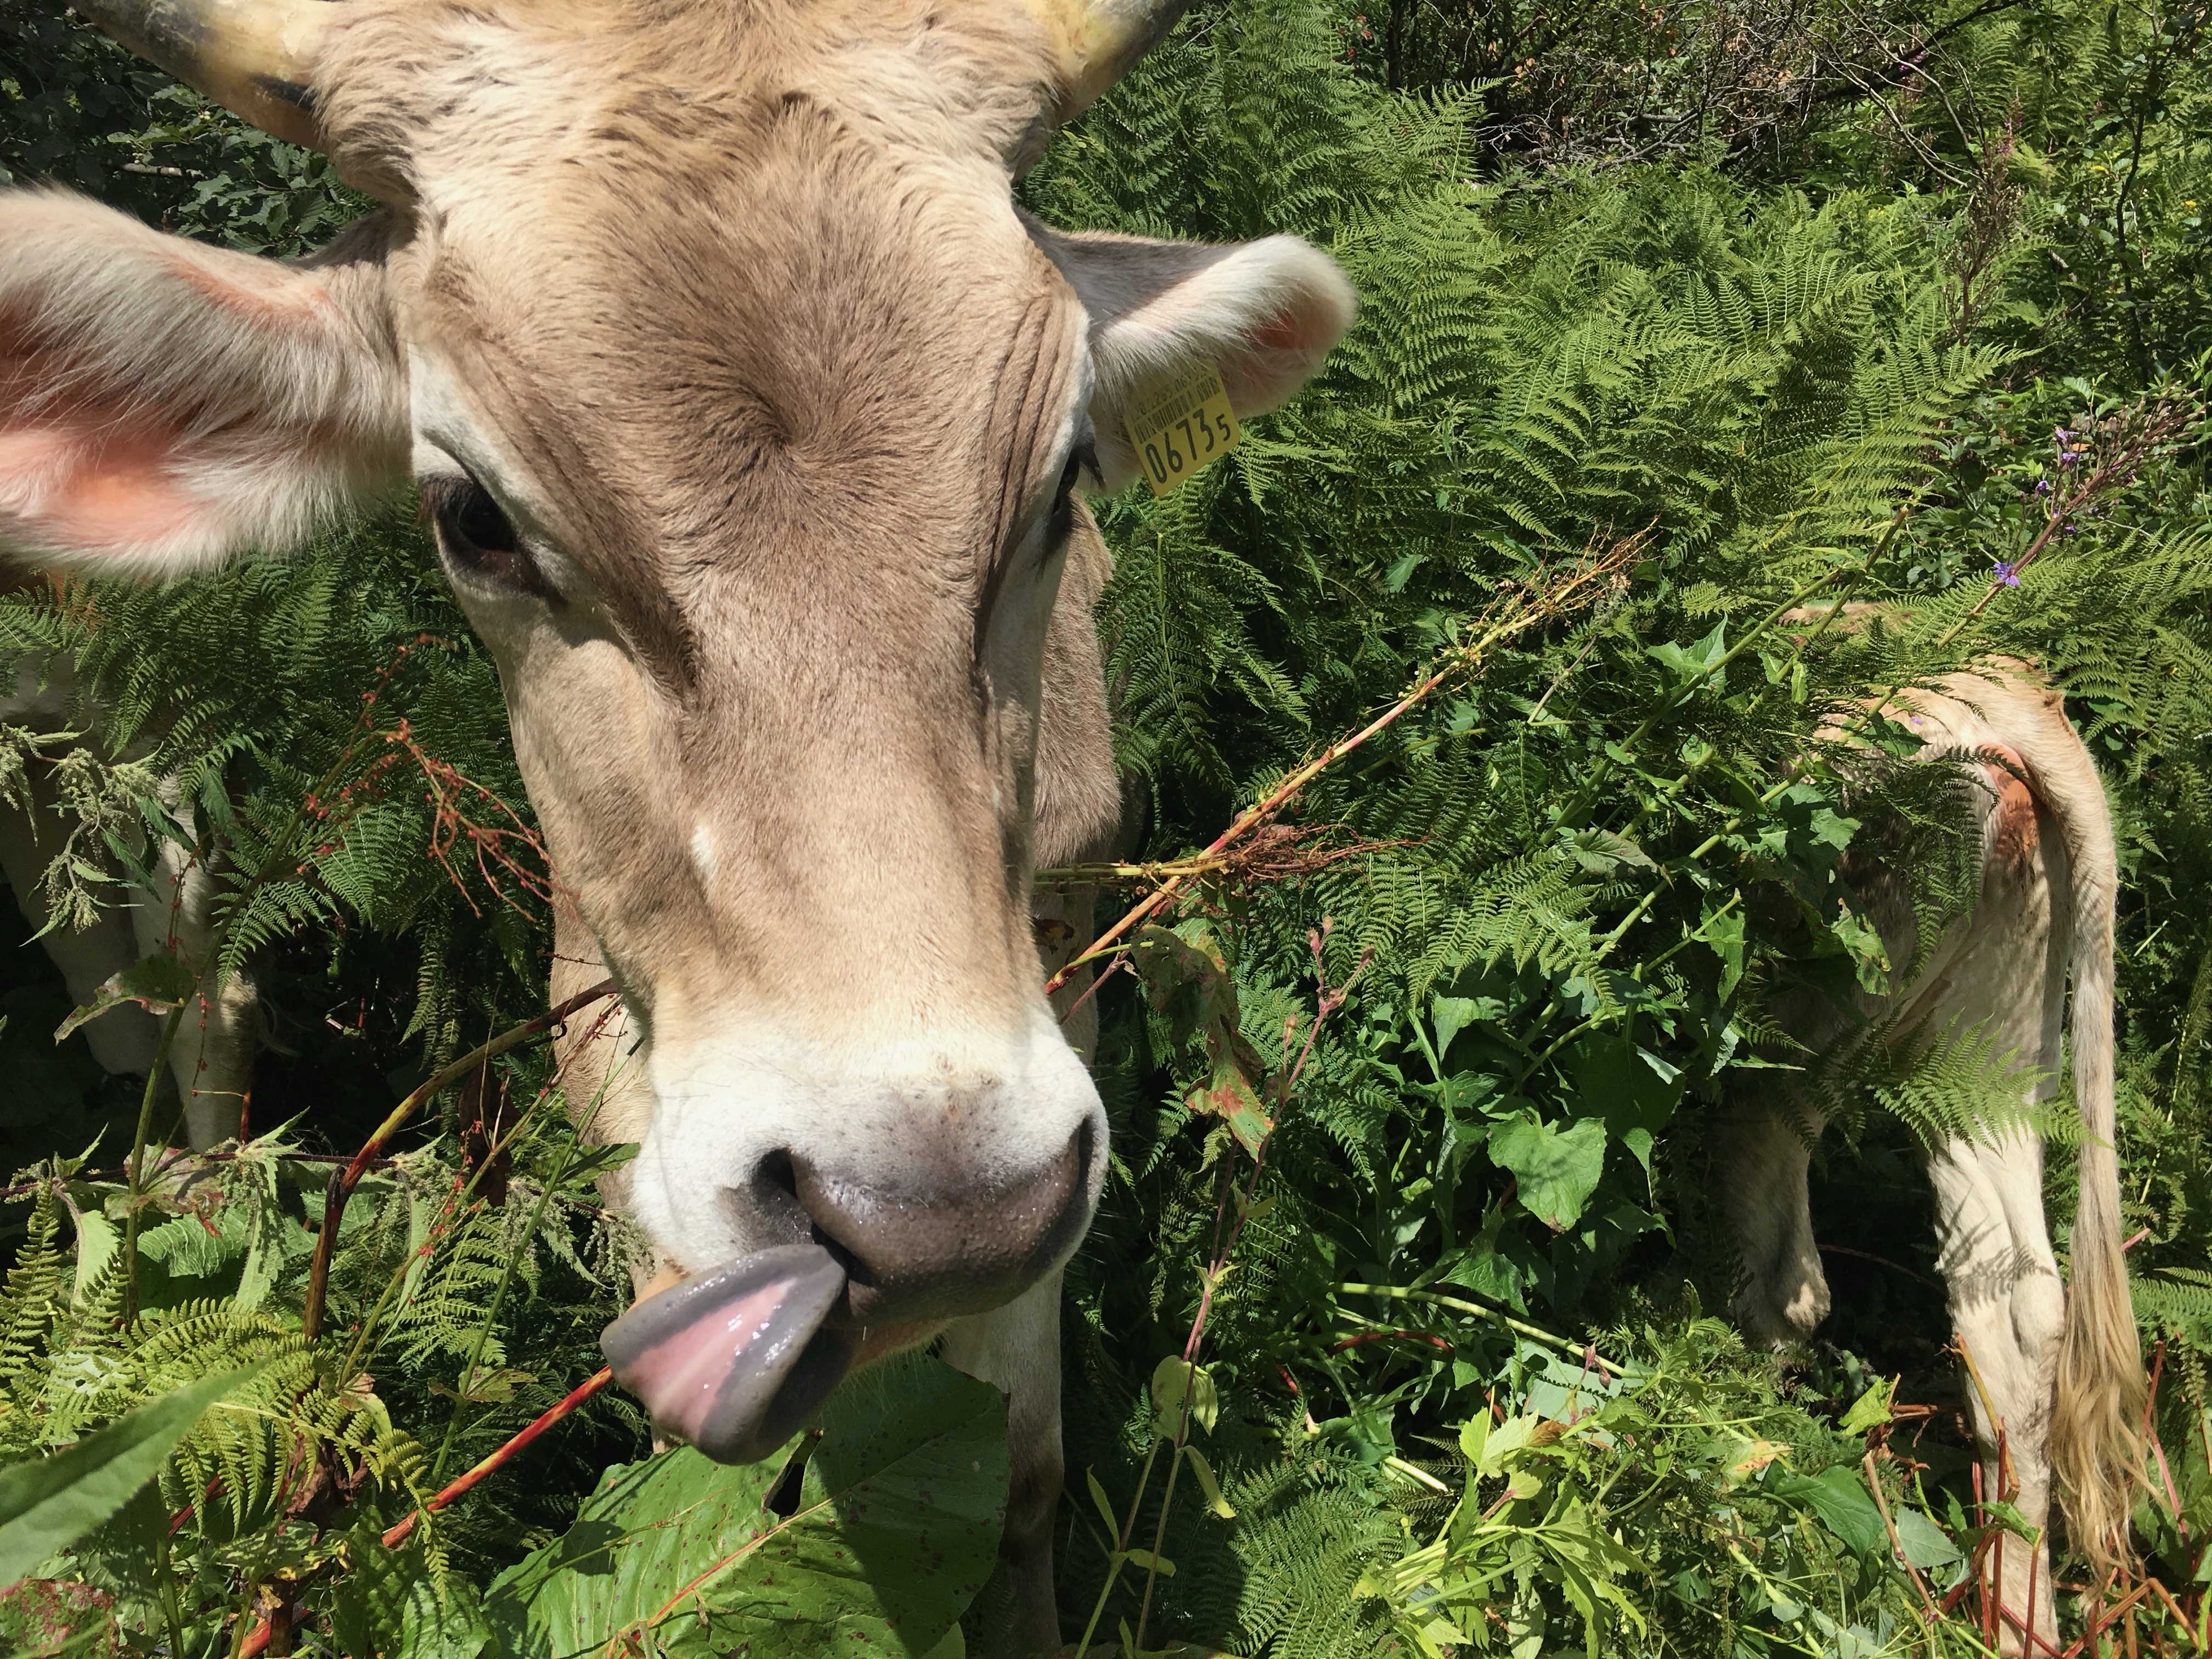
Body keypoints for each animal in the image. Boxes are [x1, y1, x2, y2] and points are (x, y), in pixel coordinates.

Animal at [0, 0, 1354, 1650]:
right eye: (474, 517)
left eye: (1064, 476)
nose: (931, 1210)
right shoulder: (604, 1021)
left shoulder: (1054, 1003)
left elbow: (1025, 1464)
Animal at [1723, 664, 2145, 1652]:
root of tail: (2015, 700)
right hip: (1984, 1046)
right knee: (2019, 1307)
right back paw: (2015, 1616)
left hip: (1845, 961)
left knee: (1778, 1192)